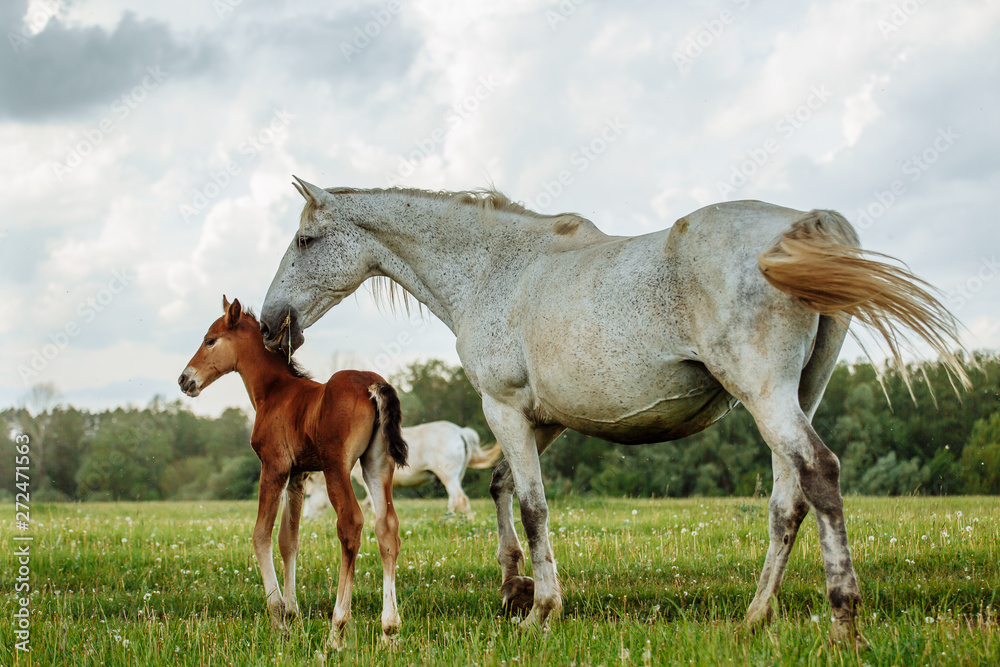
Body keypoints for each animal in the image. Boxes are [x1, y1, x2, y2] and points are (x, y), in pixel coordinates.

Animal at [178, 296, 409, 648]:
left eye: (210, 340)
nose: (184, 380)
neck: (275, 392)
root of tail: (373, 383)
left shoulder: (273, 468)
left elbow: (261, 534)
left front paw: (278, 617)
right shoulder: (297, 477)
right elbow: (289, 540)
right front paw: (293, 614)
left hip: (337, 467)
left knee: (351, 524)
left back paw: (337, 629)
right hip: (377, 464)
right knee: (387, 528)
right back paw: (390, 630)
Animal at [301, 421, 503, 520]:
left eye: (308, 496)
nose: (305, 518)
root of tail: (460, 431)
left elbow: (373, 504)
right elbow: (368, 504)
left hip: (449, 477)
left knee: (461, 500)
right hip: (455, 478)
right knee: (454, 501)